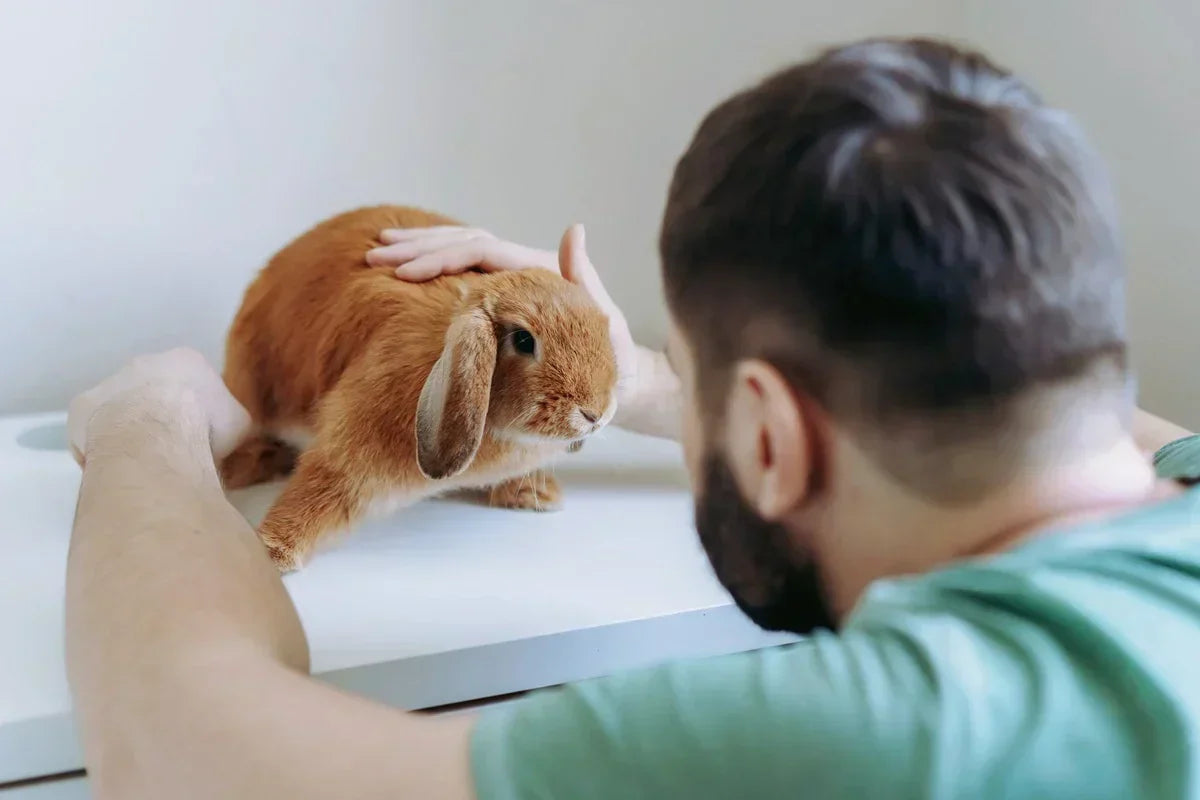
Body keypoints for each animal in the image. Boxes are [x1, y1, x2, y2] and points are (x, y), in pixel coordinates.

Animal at [220, 205, 618, 571]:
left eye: (605, 328)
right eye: (523, 340)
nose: (595, 414)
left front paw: (535, 494)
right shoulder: (349, 447)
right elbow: (317, 490)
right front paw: (272, 554)